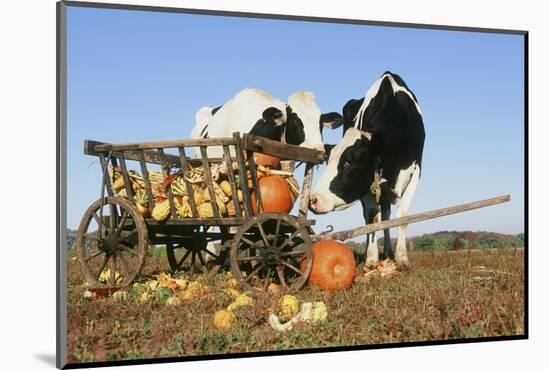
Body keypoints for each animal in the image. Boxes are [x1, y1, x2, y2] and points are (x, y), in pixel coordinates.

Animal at [310, 71, 426, 268]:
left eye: (349, 161)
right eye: (328, 160)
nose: (313, 199)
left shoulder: (416, 171)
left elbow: (402, 217)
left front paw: (402, 258)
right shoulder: (368, 184)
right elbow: (372, 217)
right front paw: (371, 259)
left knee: (386, 215)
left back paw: (389, 252)